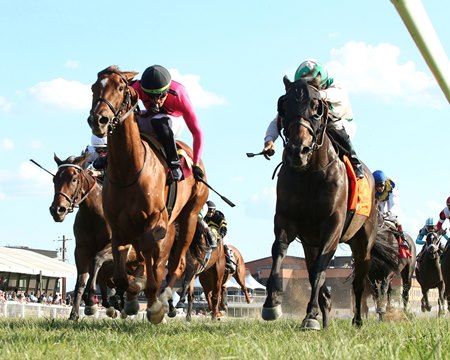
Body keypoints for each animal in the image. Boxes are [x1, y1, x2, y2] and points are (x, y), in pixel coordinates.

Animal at [87, 64, 208, 324]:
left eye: (120, 88)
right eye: (93, 88)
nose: (99, 119)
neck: (128, 171)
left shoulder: (154, 223)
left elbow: (150, 263)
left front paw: (152, 304)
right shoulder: (118, 230)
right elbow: (122, 276)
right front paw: (131, 299)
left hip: (189, 217)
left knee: (176, 264)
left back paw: (163, 299)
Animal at [262, 77, 378, 330]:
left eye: (317, 107)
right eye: (285, 106)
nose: (298, 150)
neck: (310, 173)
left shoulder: (333, 224)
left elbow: (319, 270)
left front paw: (310, 315)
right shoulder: (286, 219)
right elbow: (279, 251)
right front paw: (272, 303)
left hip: (363, 242)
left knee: (358, 282)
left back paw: (357, 320)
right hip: (310, 243)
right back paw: (324, 318)